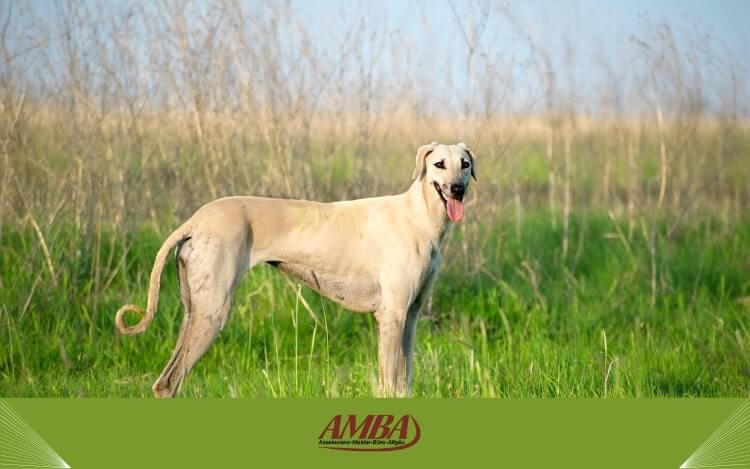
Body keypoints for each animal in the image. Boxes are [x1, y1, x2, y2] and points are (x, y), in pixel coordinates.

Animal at [117, 141, 476, 396]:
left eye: (465, 164)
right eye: (438, 164)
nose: (458, 189)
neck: (418, 216)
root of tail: (195, 220)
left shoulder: (410, 317)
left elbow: (404, 383)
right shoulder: (391, 317)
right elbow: (388, 384)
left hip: (194, 312)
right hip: (212, 313)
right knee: (168, 383)